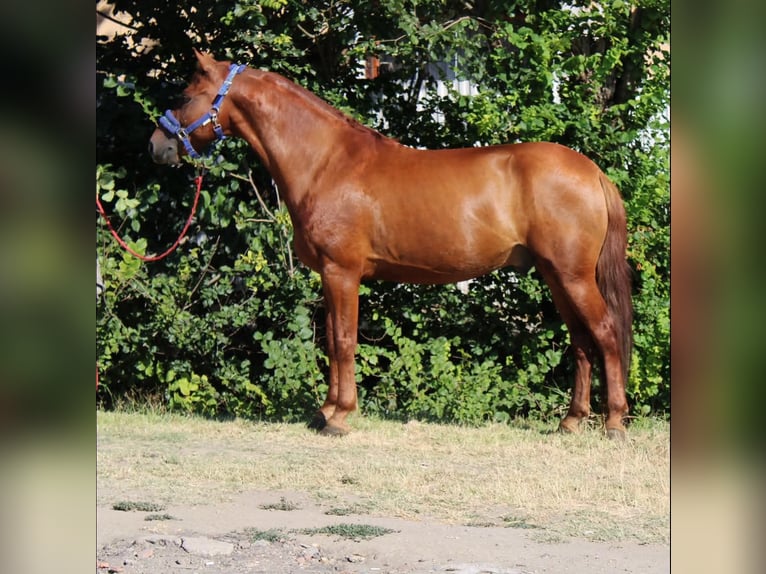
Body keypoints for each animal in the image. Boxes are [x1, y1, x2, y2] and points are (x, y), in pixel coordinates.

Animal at [149, 50, 633, 439]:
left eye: (186, 96)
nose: (157, 146)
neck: (326, 162)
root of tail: (592, 171)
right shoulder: (331, 276)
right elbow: (332, 339)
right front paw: (325, 411)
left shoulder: (341, 272)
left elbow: (344, 339)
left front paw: (340, 416)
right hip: (556, 276)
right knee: (580, 342)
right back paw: (571, 421)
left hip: (572, 276)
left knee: (606, 334)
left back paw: (613, 422)